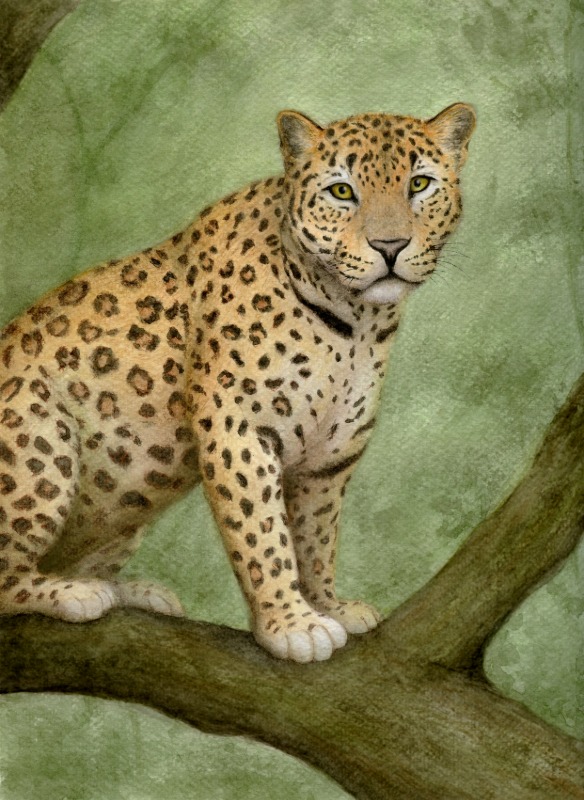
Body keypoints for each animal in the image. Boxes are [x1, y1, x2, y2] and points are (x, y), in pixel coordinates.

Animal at [0, 103, 475, 662]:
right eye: (342, 192)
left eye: (419, 184)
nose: (390, 246)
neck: (357, 323)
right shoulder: (240, 429)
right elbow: (264, 535)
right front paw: (292, 624)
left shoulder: (331, 454)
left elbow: (317, 537)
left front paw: (328, 605)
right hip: (39, 438)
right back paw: (76, 594)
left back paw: (131, 591)